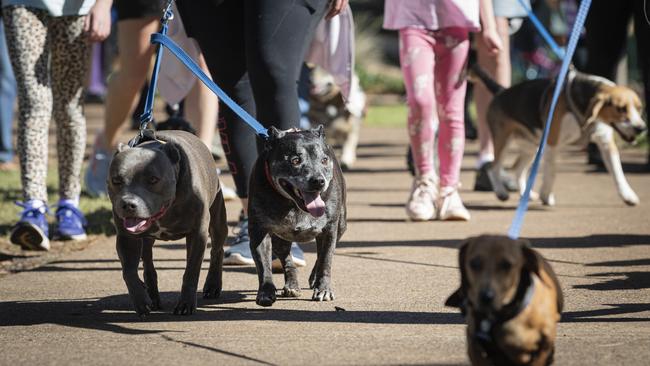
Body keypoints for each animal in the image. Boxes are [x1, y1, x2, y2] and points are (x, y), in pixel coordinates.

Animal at [107, 130, 228, 316]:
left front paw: (185, 304)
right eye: (116, 180)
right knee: (148, 264)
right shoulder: (126, 238)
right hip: (146, 240)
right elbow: (129, 272)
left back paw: (213, 285)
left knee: (217, 250)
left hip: (218, 223)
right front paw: (140, 300)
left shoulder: (198, 233)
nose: (128, 204)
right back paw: (152, 296)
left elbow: (191, 271)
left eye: (153, 180)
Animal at [248, 126, 346, 306]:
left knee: (320, 257)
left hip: (341, 227)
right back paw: (291, 285)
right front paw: (265, 292)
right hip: (280, 239)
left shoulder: (329, 230)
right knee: (287, 260)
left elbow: (326, 260)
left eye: (324, 160)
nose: (318, 181)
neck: (293, 204)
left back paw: (314, 278)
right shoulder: (259, 233)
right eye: (295, 160)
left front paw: (323, 289)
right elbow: (263, 265)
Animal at [468, 63, 644, 206]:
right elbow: (551, 172)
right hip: (503, 141)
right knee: (493, 167)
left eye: (639, 108)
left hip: (531, 146)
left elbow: (618, 172)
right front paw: (546, 196)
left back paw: (527, 194)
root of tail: (501, 91)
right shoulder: (552, 142)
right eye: (621, 109)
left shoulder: (607, 145)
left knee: (518, 168)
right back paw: (501, 192)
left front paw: (628, 196)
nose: (641, 128)